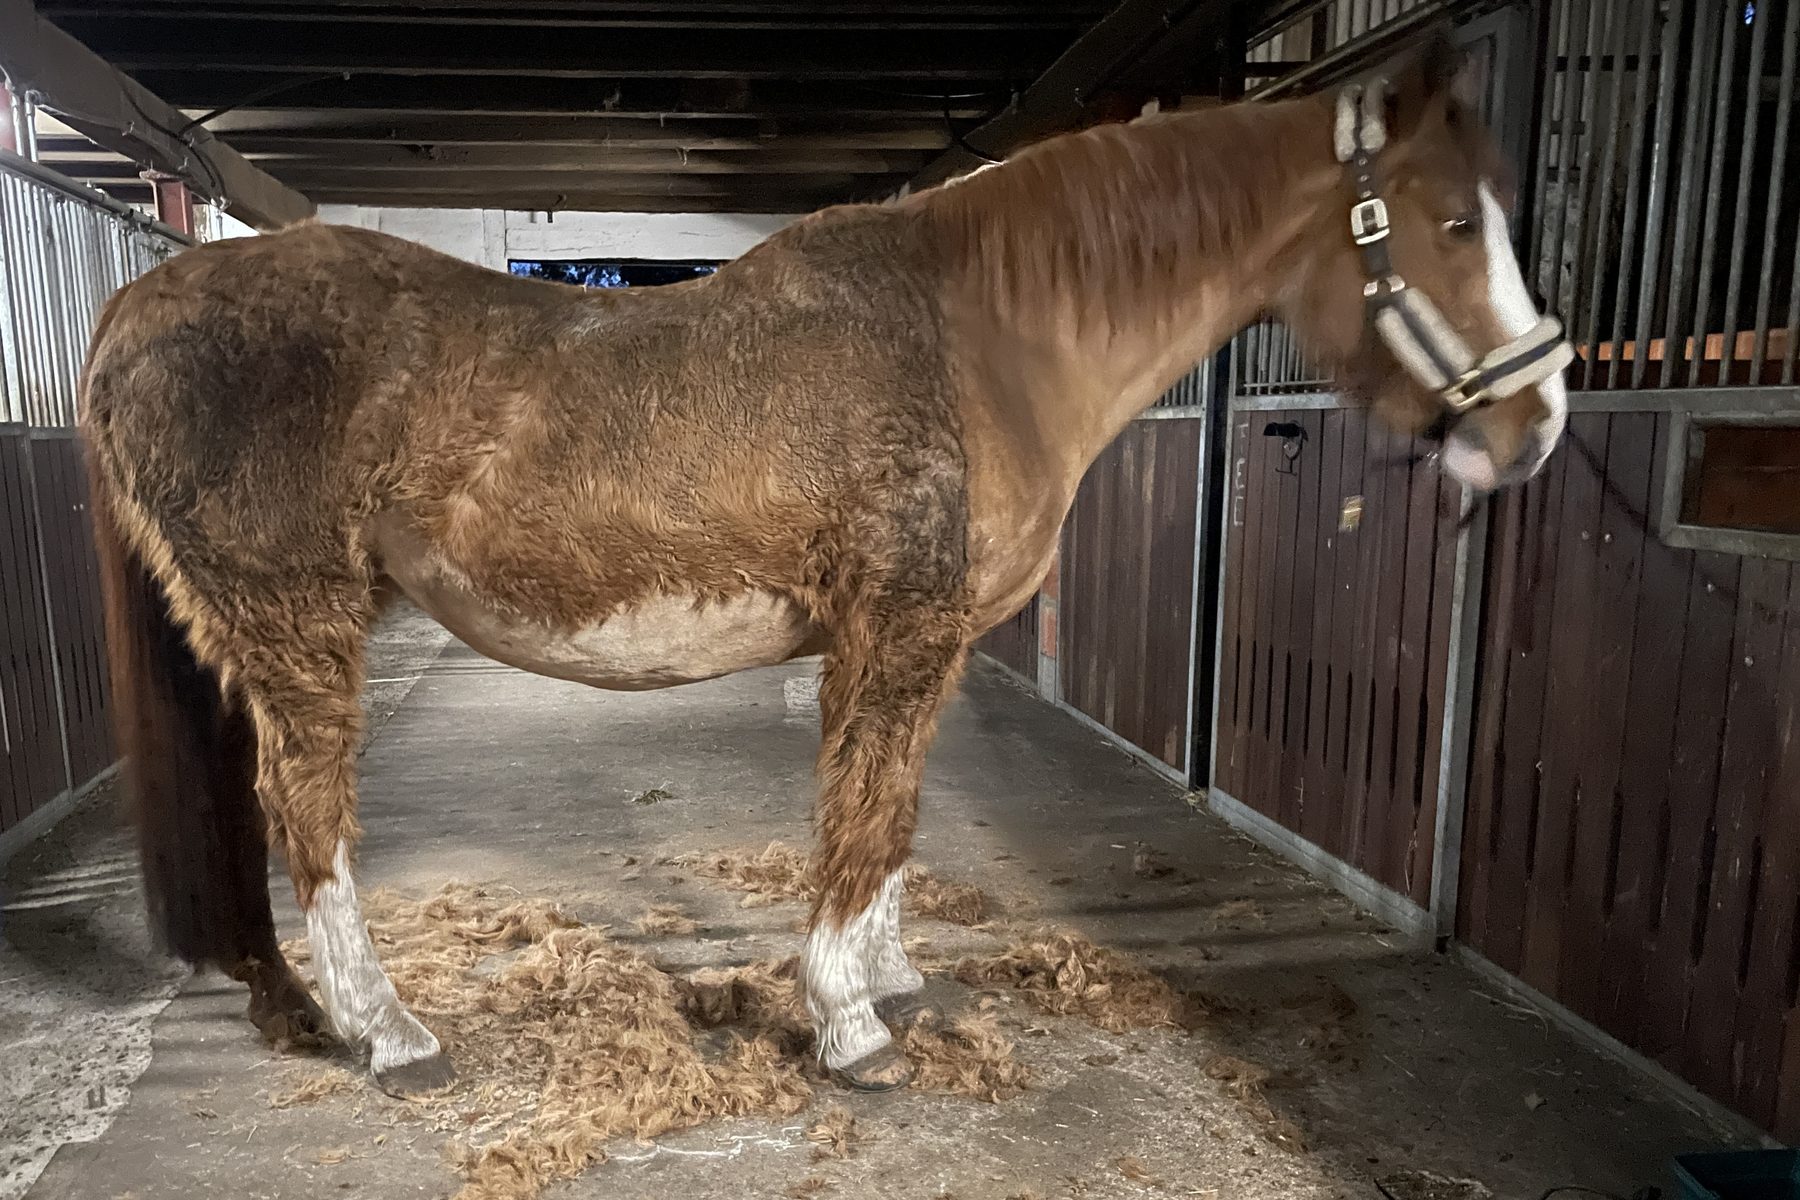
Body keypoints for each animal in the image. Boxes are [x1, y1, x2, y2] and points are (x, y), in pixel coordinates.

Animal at [79, 34, 1570, 1097]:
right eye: (1452, 223)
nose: (1538, 423)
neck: (980, 337)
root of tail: (139, 302)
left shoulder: (930, 641)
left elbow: (894, 811)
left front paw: (891, 981)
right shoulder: (895, 627)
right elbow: (861, 816)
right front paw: (852, 1028)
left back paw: (294, 1008)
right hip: (298, 625)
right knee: (306, 814)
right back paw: (390, 1034)